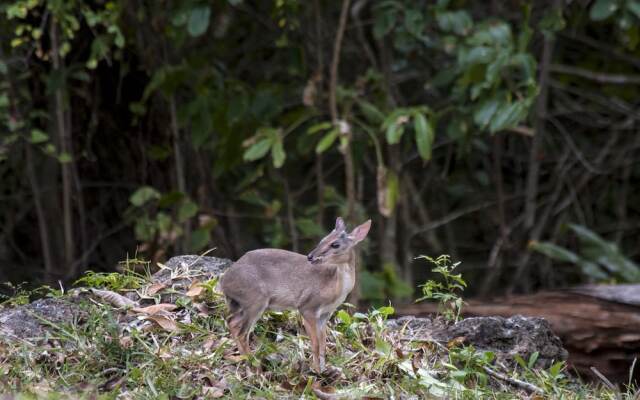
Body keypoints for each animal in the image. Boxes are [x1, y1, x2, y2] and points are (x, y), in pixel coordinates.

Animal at [219, 217, 370, 374]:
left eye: (335, 244)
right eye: (322, 239)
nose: (310, 256)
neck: (334, 288)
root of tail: (224, 281)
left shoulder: (325, 314)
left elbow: (323, 342)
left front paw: (323, 370)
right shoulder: (307, 307)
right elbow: (315, 343)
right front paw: (316, 371)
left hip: (242, 304)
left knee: (232, 322)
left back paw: (244, 360)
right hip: (255, 301)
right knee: (242, 333)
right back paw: (254, 367)